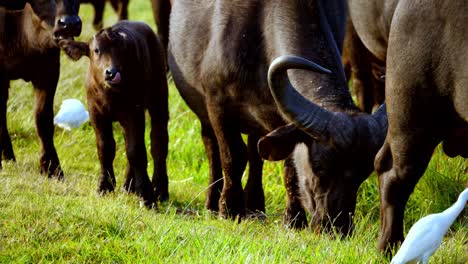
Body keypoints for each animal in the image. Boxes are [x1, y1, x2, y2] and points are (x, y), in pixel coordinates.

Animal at [59, 20, 170, 206]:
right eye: (96, 50)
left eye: (122, 51)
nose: (111, 73)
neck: (110, 95)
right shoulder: (96, 113)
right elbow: (105, 147)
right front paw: (104, 186)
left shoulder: (133, 112)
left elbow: (136, 151)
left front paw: (146, 195)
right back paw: (128, 186)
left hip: (159, 98)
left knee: (158, 141)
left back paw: (161, 191)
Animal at [168, 0, 388, 233]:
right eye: (319, 166)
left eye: (364, 171)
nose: (338, 227)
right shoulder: (217, 104)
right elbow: (232, 157)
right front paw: (229, 209)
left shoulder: (285, 122)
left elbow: (289, 169)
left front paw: (294, 219)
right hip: (204, 113)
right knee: (212, 148)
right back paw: (212, 202)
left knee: (256, 154)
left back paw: (255, 206)